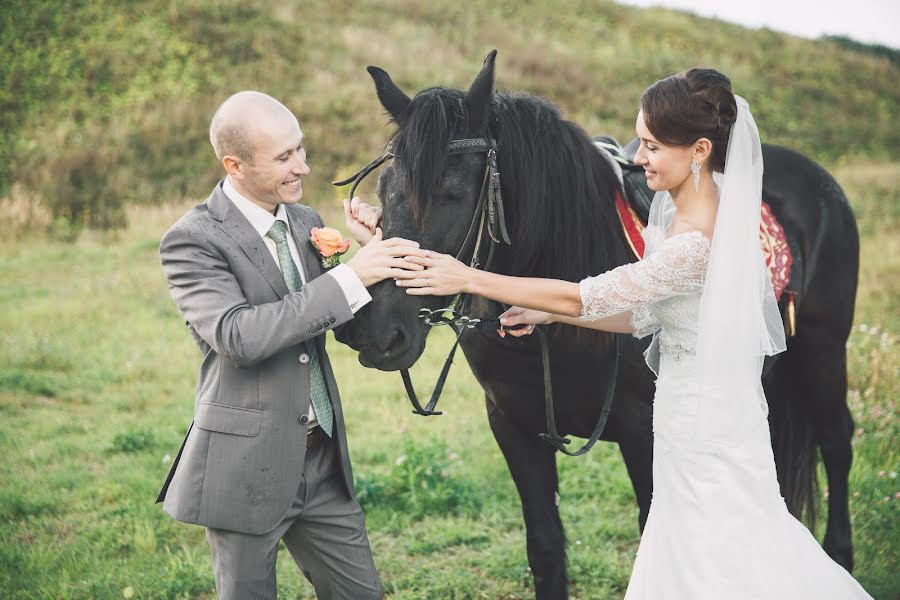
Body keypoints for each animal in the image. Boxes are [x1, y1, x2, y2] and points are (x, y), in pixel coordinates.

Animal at [338, 52, 856, 600]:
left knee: (836, 440)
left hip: (824, 349)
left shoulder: (643, 433)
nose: (375, 331)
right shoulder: (512, 427)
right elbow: (545, 548)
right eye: (384, 191)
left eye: (452, 194)